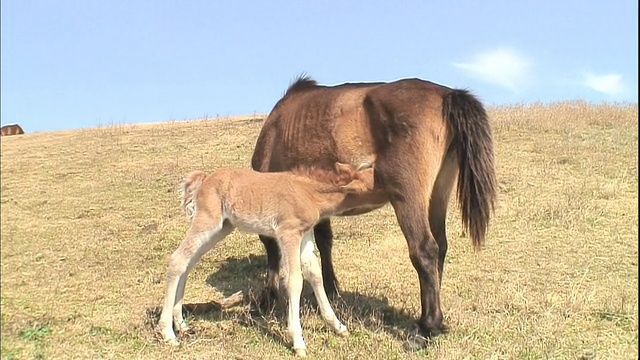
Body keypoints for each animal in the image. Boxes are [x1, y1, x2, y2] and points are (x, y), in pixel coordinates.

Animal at [157, 163, 372, 358]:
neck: (307, 190)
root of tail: (205, 179)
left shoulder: (304, 233)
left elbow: (314, 273)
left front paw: (337, 326)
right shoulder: (288, 233)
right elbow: (294, 281)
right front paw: (298, 342)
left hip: (222, 227)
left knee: (188, 263)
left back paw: (181, 324)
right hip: (207, 221)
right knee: (177, 259)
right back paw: (168, 332)